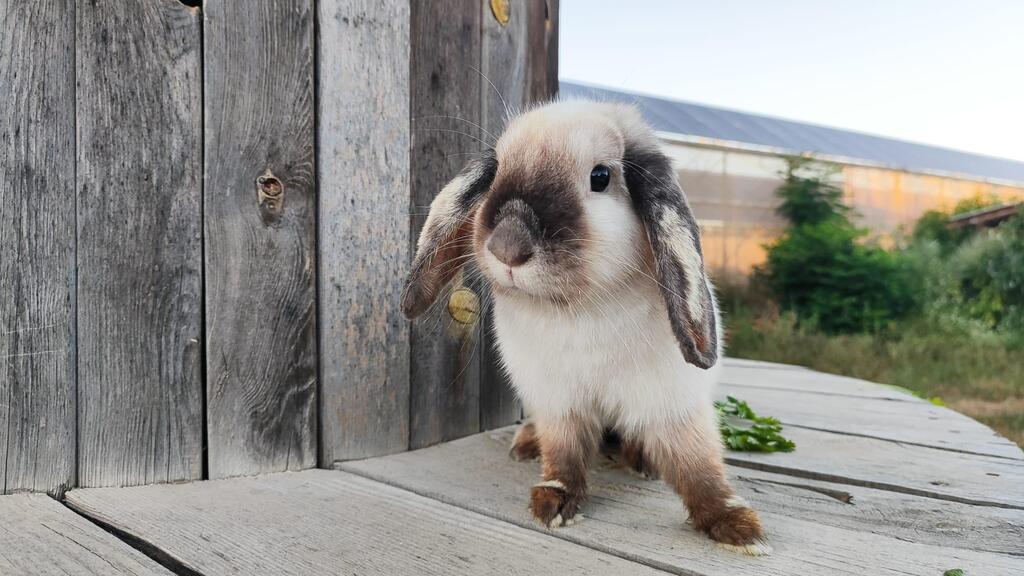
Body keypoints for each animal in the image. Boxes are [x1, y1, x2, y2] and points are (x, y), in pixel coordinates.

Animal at [401, 99, 770, 556]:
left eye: (600, 176)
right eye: (498, 169)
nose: (507, 246)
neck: (577, 309)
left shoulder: (672, 406)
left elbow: (697, 465)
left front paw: (736, 525)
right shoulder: (559, 402)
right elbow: (564, 453)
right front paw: (554, 501)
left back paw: (641, 460)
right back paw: (526, 443)